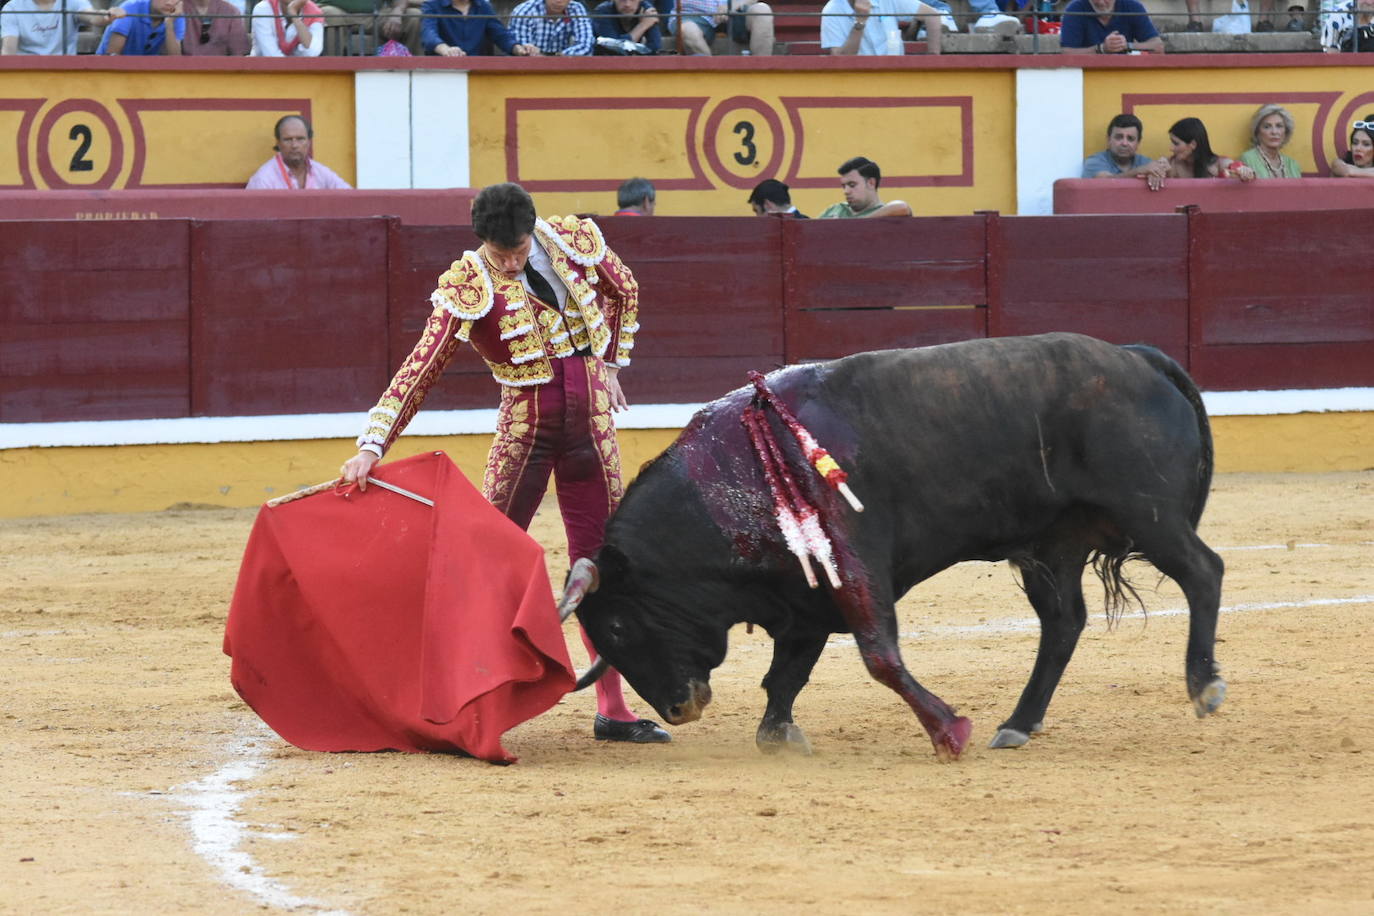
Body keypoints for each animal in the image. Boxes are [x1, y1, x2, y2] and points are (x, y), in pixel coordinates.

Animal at [557, 335, 1225, 758]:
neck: (732, 476)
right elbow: (785, 674)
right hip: (1052, 544)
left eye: (616, 626)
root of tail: (1138, 358)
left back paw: (1203, 686)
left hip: (1150, 513)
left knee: (1203, 571)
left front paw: (949, 732)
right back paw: (1018, 724)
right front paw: (778, 735)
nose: (678, 710)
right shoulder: (803, 595)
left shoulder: (853, 564)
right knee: (1064, 621)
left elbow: (878, 654)